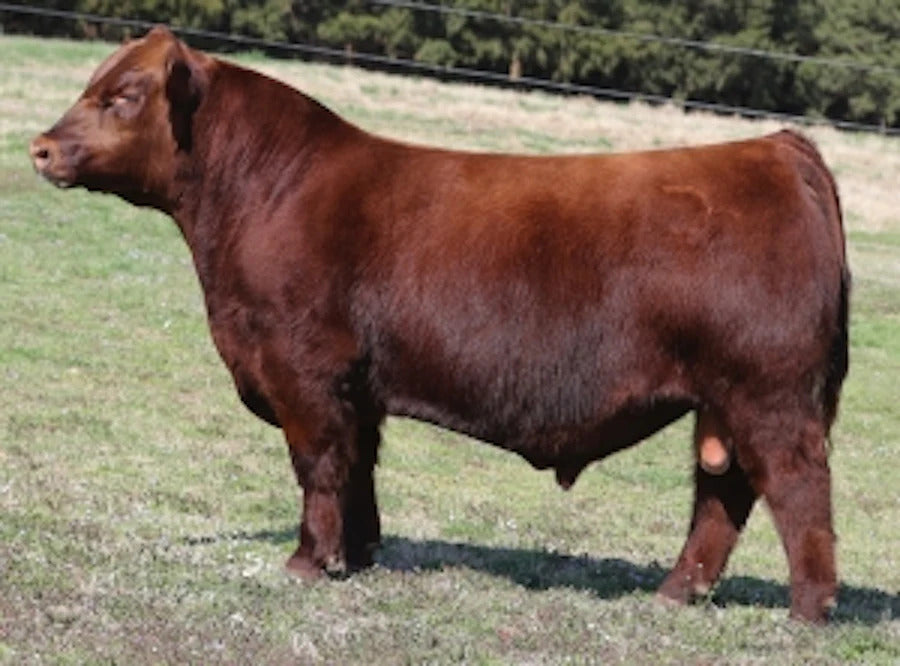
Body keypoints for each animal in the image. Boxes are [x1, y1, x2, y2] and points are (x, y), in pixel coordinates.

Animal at [30, 26, 849, 623]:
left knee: (797, 489)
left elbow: (319, 466)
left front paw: (307, 562)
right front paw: (356, 556)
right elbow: (358, 468)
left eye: (123, 95)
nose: (39, 148)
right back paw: (676, 594)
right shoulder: (357, 387)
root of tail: (777, 146)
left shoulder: (304, 372)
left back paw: (807, 613)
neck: (262, 190)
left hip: (769, 394)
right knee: (723, 496)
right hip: (724, 403)